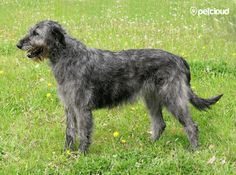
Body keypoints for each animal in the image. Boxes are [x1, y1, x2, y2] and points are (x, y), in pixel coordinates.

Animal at [17, 20, 223, 152]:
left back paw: (193, 150)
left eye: (36, 33)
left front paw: (81, 154)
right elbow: (70, 132)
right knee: (160, 124)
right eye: (30, 31)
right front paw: (66, 152)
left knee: (191, 125)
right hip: (152, 99)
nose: (18, 44)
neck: (66, 55)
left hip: (173, 98)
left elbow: (83, 133)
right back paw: (150, 145)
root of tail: (179, 60)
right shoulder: (70, 106)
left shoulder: (82, 107)